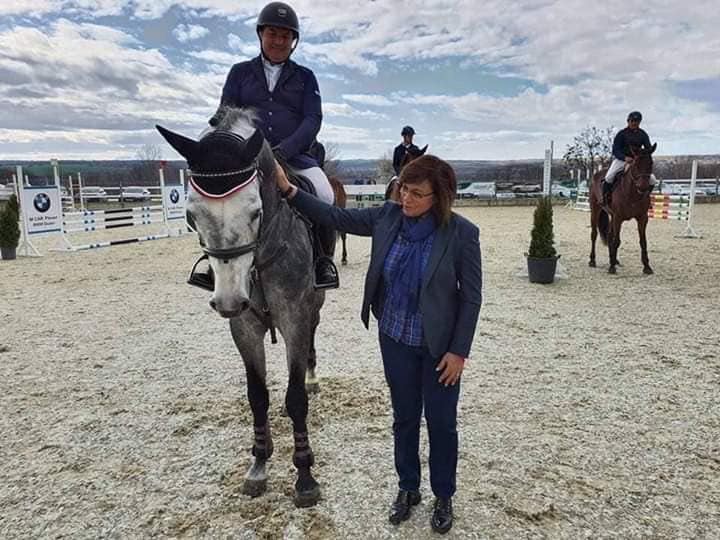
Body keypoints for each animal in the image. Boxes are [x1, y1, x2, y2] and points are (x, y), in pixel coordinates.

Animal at [156, 107, 325, 508]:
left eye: (255, 212)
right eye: (191, 216)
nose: (230, 300)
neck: (259, 259)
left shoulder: (295, 318)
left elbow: (295, 398)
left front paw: (304, 476)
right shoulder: (244, 328)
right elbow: (257, 396)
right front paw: (259, 464)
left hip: (315, 305)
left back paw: (311, 376)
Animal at [589, 143, 657, 275]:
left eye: (651, 163)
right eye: (635, 164)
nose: (643, 187)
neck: (633, 193)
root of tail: (596, 174)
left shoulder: (642, 218)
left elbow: (643, 241)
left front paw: (647, 266)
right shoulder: (618, 218)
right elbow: (616, 241)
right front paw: (611, 267)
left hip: (611, 215)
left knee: (609, 235)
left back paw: (614, 259)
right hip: (595, 210)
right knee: (594, 234)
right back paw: (593, 261)